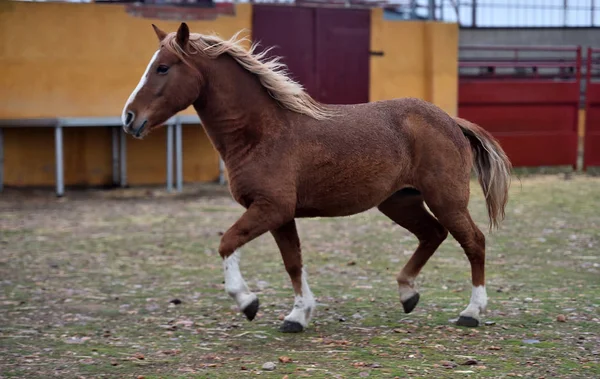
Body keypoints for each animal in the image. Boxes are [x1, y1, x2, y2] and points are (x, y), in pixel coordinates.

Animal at [120, 23, 510, 332]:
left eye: (163, 68)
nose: (129, 118)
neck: (261, 132)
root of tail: (451, 121)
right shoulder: (280, 215)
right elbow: (293, 262)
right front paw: (298, 315)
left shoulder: (271, 208)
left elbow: (227, 243)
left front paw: (249, 302)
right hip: (400, 202)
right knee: (433, 234)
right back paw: (407, 293)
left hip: (446, 199)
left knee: (473, 242)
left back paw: (471, 312)